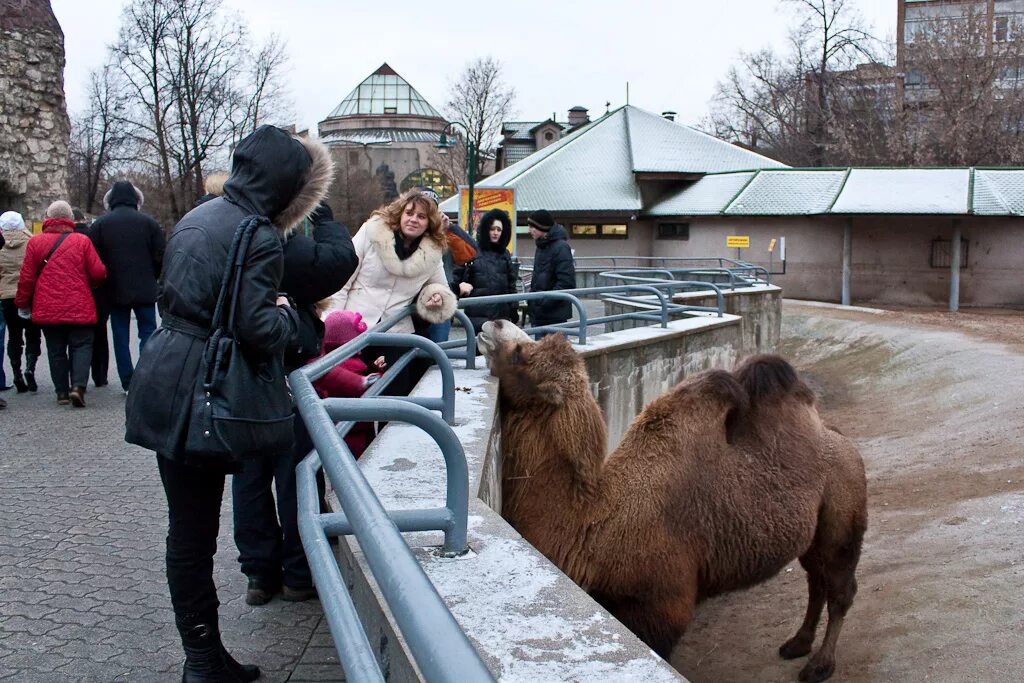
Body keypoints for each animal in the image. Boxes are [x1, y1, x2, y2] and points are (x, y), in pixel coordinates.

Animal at [479, 321, 872, 683]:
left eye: (521, 354)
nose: (493, 324)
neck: (595, 524)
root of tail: (840, 439)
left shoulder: (662, 606)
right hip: (814, 531)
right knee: (816, 581)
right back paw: (797, 644)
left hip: (843, 513)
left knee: (841, 588)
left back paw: (820, 665)